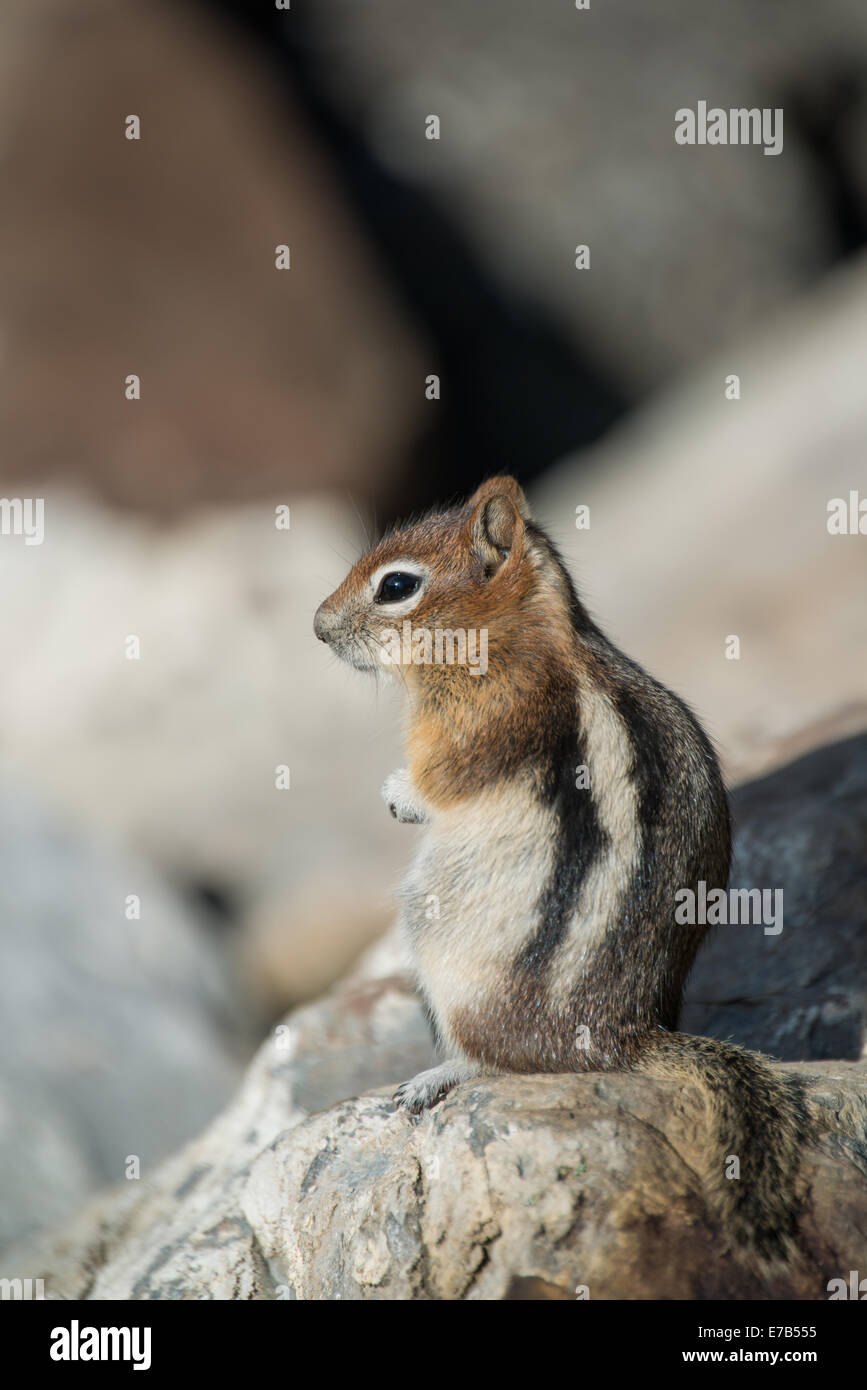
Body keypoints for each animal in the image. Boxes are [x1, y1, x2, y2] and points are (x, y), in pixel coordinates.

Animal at [314, 475, 811, 1264]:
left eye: (396, 586)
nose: (318, 627)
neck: (519, 631)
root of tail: (620, 1037)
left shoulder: (481, 720)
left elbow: (438, 782)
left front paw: (398, 795)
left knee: (496, 1061)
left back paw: (435, 1075)